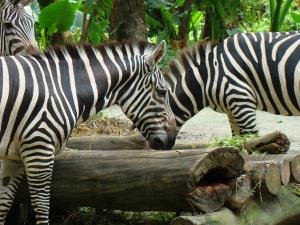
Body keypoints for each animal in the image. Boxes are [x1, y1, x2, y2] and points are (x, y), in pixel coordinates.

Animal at [0, 40, 177, 225]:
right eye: (162, 92)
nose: (172, 139)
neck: (63, 88)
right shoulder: (39, 147)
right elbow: (41, 205)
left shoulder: (14, 157)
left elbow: (4, 205)